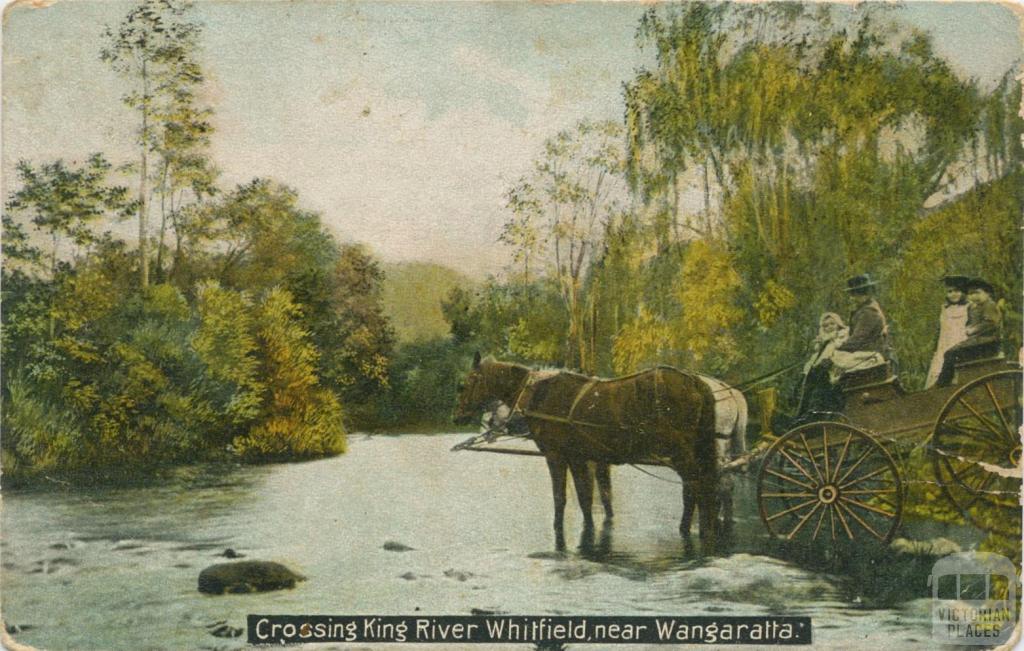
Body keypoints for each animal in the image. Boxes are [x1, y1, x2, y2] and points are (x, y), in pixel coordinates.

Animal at [456, 356, 720, 548]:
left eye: (465, 384)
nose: (458, 416)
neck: (540, 393)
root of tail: (694, 381)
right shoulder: (579, 457)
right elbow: (585, 497)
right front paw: (590, 528)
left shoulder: (555, 454)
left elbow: (560, 497)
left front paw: (559, 529)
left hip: (679, 451)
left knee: (695, 485)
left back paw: (692, 528)